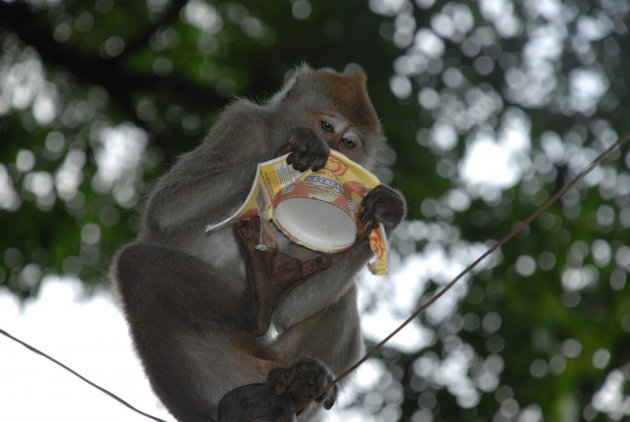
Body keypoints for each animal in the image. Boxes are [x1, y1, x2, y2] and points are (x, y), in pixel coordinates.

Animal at [112, 63, 410, 422]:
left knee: (336, 299)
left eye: (350, 142)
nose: (337, 152)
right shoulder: (240, 123)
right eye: (327, 126)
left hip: (274, 358)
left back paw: (297, 380)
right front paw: (293, 147)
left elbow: (289, 311)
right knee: (137, 265)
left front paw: (386, 211)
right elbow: (167, 207)